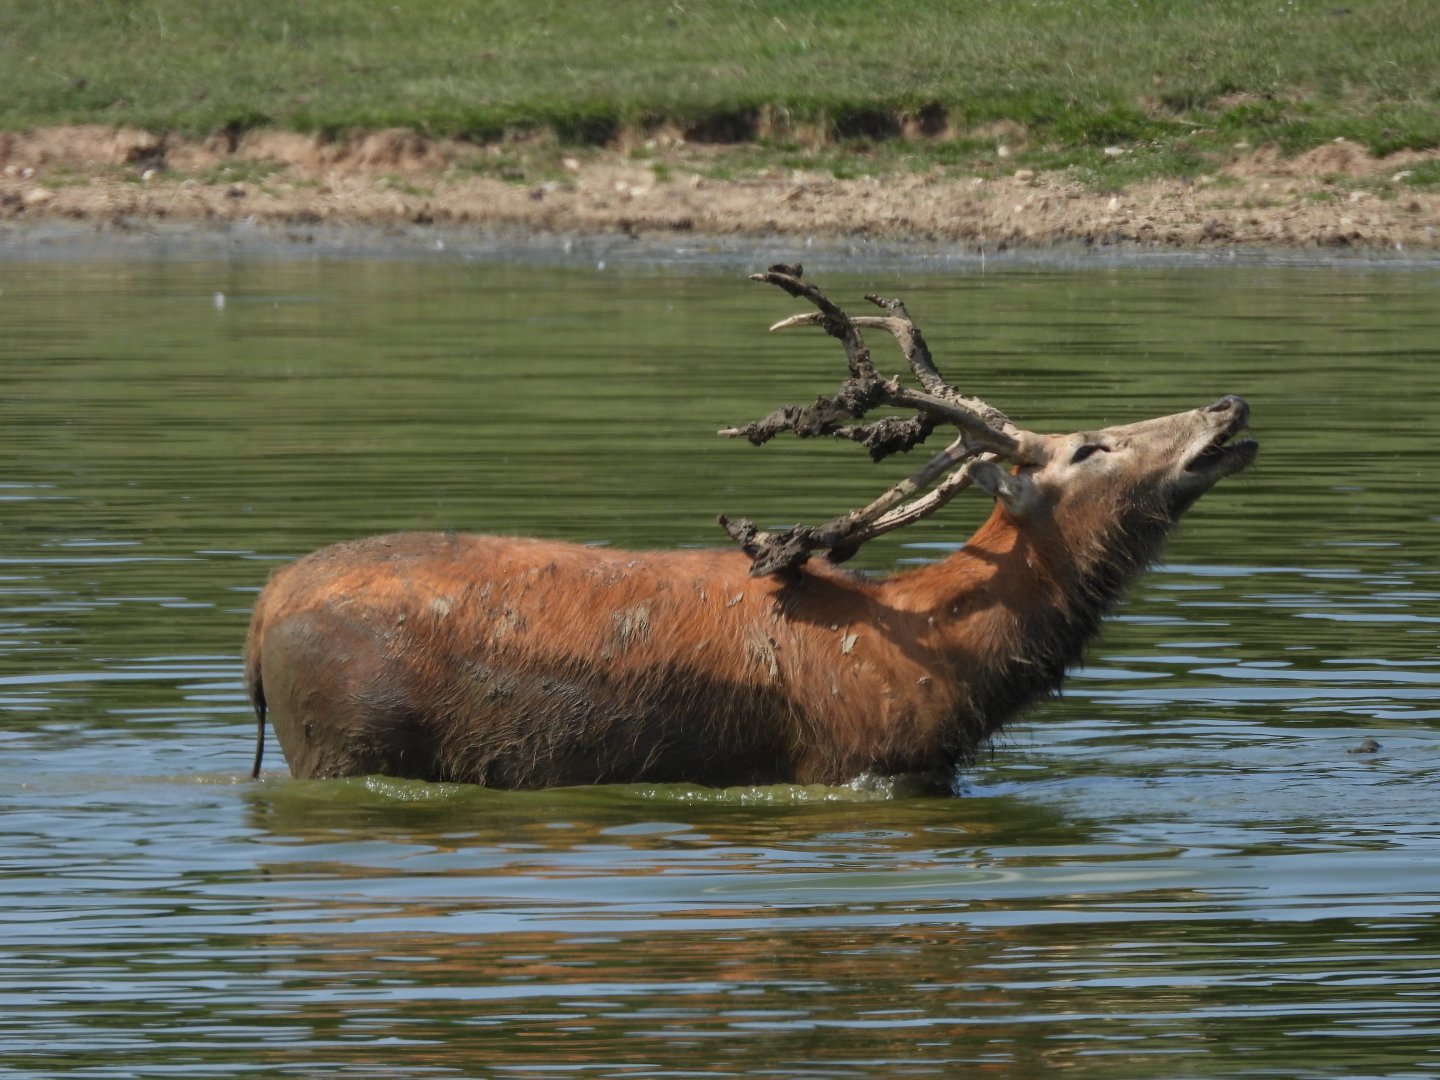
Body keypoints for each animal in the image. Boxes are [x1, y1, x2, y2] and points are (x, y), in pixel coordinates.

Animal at [244, 266, 1256, 791]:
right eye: (1091, 445)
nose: (1228, 403)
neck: (961, 673)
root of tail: (259, 617)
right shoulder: (853, 762)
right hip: (339, 738)